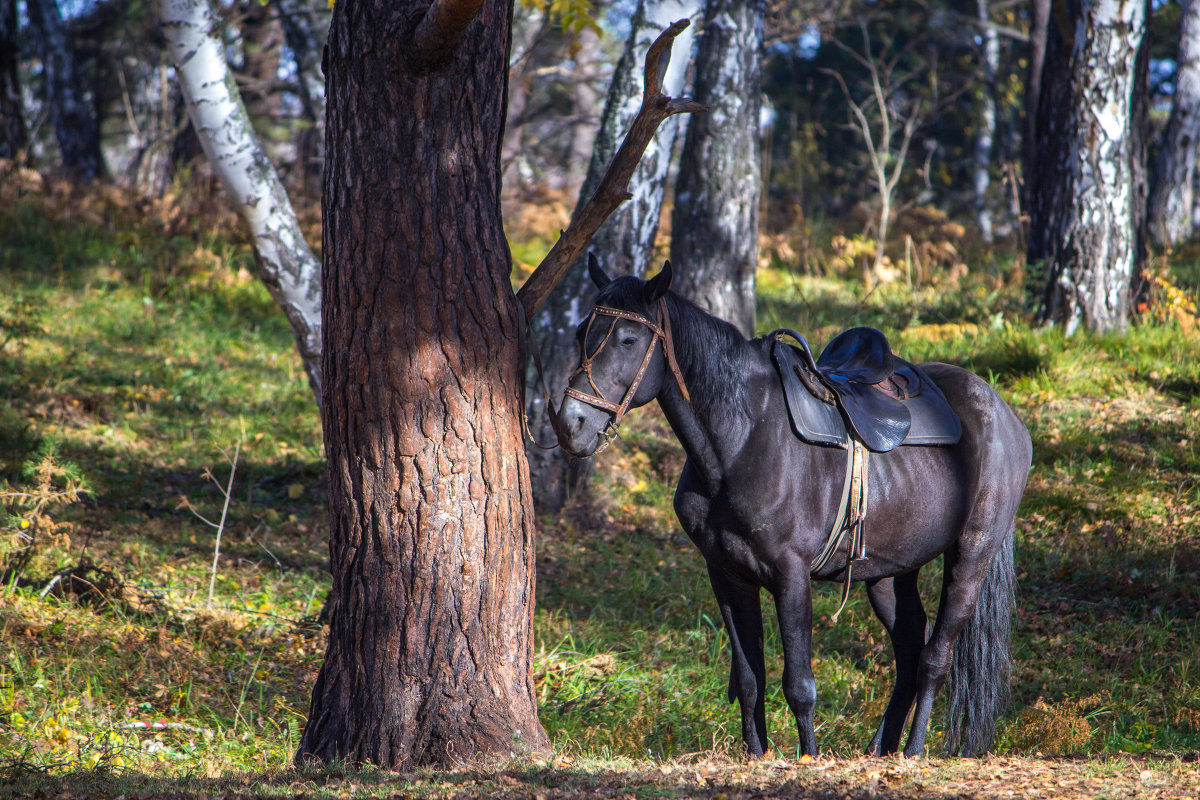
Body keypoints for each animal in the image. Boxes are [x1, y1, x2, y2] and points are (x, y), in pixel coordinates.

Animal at [552, 260, 1032, 762]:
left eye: (628, 339)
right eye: (582, 332)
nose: (570, 425)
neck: (742, 438)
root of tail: (1002, 411)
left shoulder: (791, 574)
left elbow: (799, 684)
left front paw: (808, 758)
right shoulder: (727, 574)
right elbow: (748, 678)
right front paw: (755, 754)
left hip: (972, 554)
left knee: (935, 659)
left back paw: (913, 751)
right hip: (890, 570)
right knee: (908, 649)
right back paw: (879, 748)